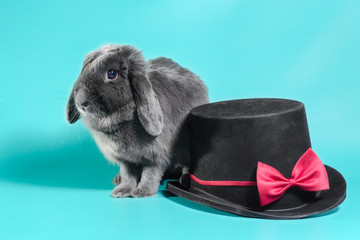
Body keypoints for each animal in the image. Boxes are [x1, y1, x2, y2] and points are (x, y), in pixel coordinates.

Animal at [66, 44, 210, 198]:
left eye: (112, 73)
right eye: (85, 69)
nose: (81, 102)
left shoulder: (156, 157)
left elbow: (151, 173)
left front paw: (143, 191)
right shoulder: (126, 159)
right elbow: (128, 174)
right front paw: (122, 191)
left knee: (186, 166)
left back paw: (183, 180)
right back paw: (118, 179)